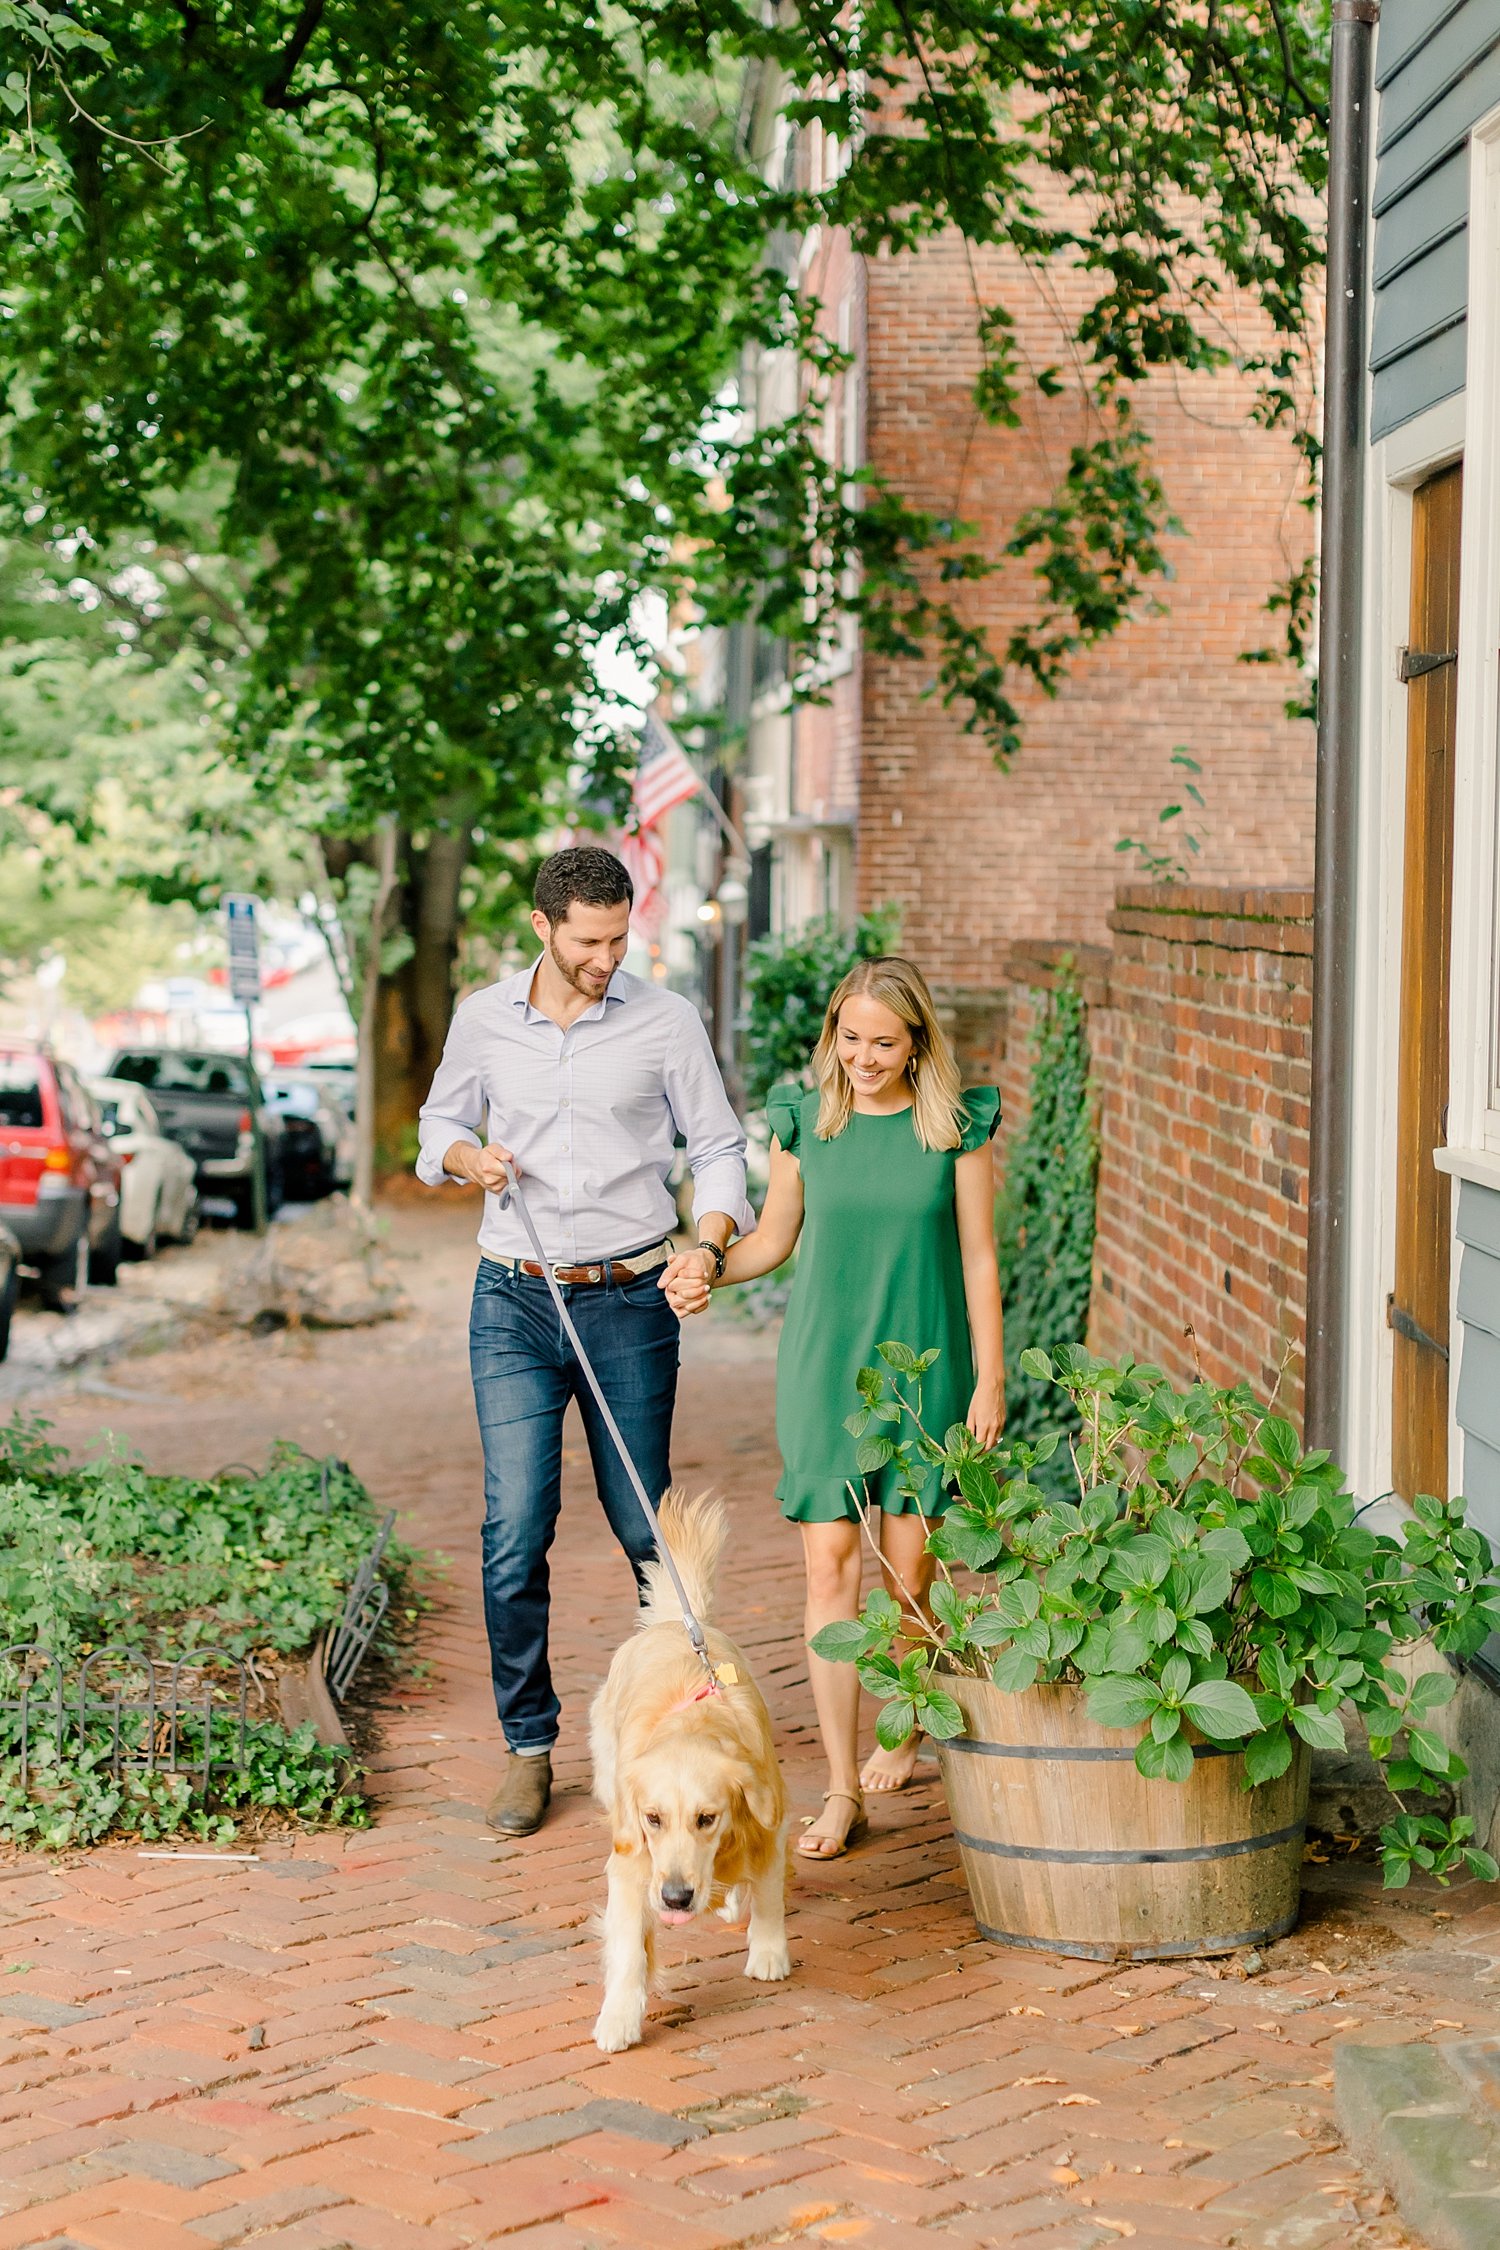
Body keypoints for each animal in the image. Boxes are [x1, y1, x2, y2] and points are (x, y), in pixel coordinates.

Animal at [593, 1485, 791, 2052]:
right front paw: (620, 2016)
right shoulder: (631, 1859)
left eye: (707, 1818)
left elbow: (767, 1890)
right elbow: (629, 1947)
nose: (677, 1898)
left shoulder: (771, 1816)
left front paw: (768, 1951)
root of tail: (671, 1622)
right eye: (653, 1819)